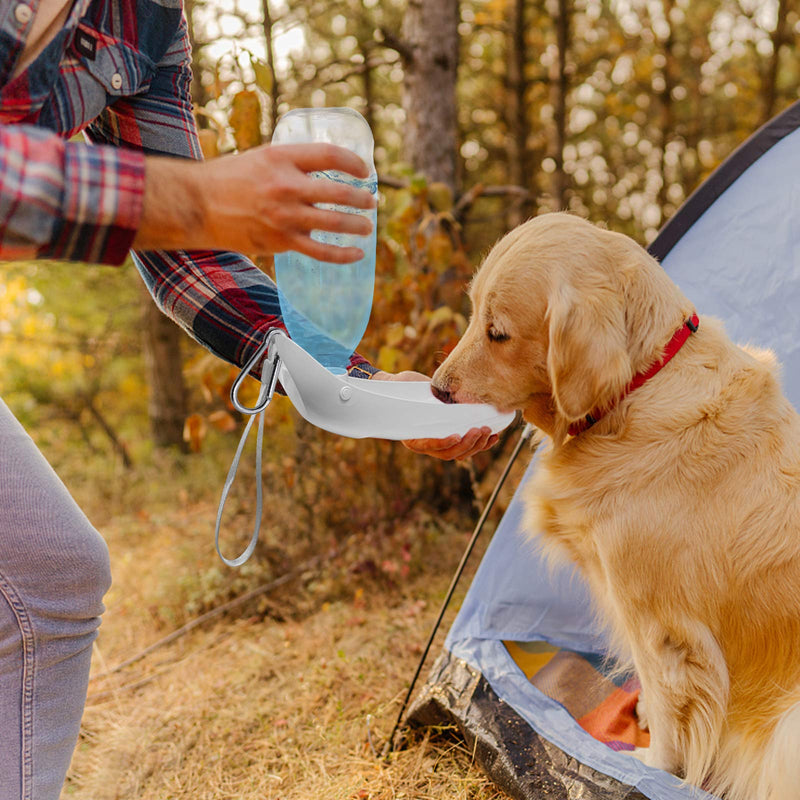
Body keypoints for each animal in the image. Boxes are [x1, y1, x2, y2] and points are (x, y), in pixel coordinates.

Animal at [432, 211, 800, 800]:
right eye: (472, 313)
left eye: (498, 332)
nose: (438, 390)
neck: (638, 388)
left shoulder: (661, 626)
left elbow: (671, 709)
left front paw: (652, 764)